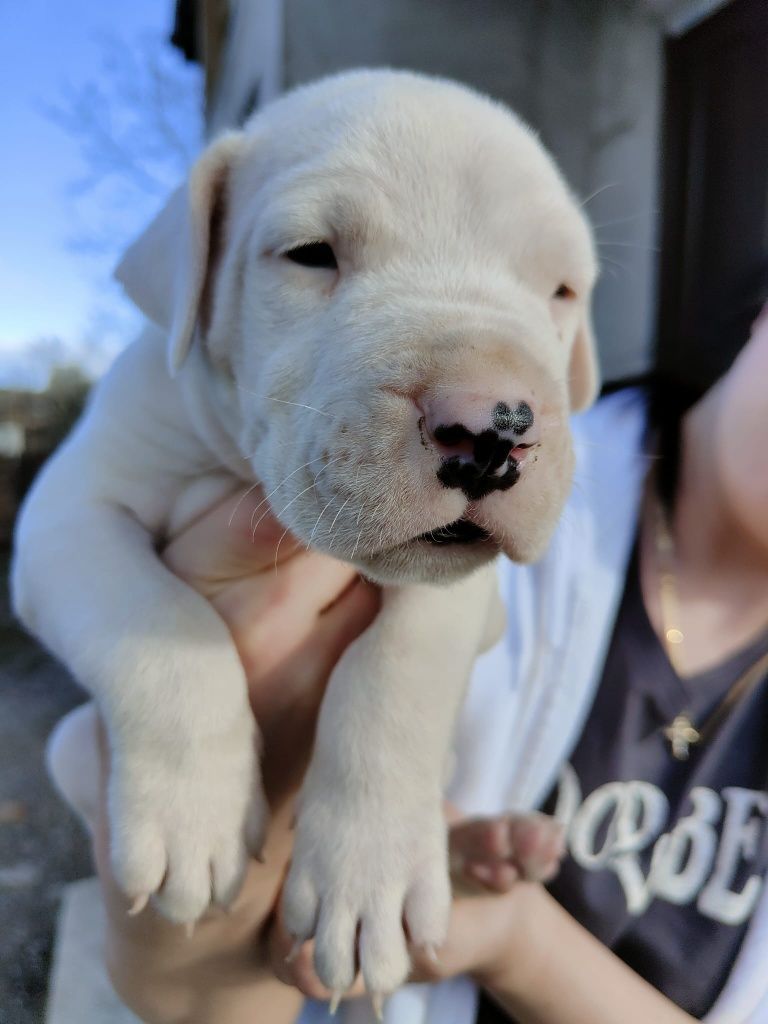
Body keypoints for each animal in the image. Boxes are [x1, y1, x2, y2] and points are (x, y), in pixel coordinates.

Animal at [13, 70, 602, 999]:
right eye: (311, 254)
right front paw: (195, 820)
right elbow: (160, 626)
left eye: (562, 292)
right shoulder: (67, 514)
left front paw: (370, 874)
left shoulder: (468, 596)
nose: (495, 429)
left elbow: (400, 672)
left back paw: (496, 850)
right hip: (74, 745)